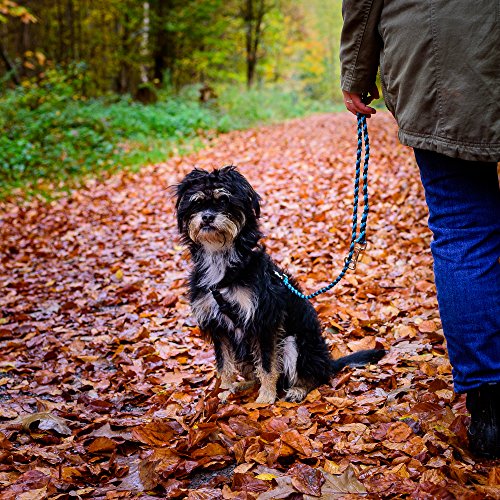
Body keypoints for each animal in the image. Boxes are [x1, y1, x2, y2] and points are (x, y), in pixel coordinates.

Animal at [176, 166, 386, 404]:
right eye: (197, 203)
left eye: (224, 201)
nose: (207, 217)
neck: (220, 262)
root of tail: (327, 362)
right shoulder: (218, 327)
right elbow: (224, 366)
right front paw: (224, 390)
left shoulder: (264, 321)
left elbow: (267, 365)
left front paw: (266, 398)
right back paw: (242, 386)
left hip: (297, 344)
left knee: (315, 376)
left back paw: (298, 389)